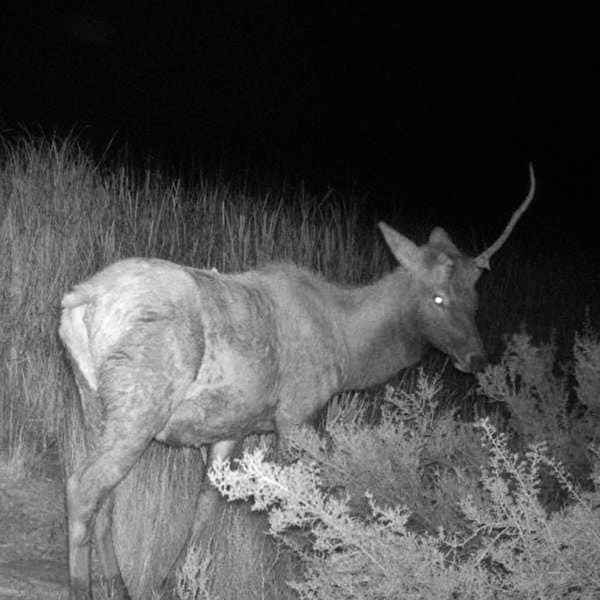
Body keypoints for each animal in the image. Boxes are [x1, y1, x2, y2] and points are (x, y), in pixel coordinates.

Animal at [59, 165, 536, 600]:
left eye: (475, 298)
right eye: (438, 297)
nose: (477, 358)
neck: (347, 349)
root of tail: (79, 300)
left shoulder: (231, 427)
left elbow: (208, 506)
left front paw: (172, 581)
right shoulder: (297, 415)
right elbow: (292, 503)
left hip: (93, 401)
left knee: (105, 495)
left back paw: (118, 585)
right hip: (139, 403)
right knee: (83, 487)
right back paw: (82, 588)